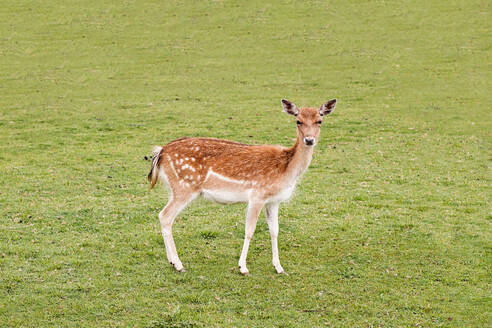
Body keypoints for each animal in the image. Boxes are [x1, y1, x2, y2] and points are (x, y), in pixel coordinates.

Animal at [148, 98, 336, 276]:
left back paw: (172, 262)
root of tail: (160, 152)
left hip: (176, 189)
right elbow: (249, 230)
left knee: (164, 216)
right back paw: (178, 264)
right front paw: (243, 267)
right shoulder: (257, 195)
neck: (287, 169)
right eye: (298, 121)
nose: (309, 140)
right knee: (165, 215)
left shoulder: (274, 201)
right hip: (184, 187)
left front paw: (279, 267)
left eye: (319, 120)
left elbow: (275, 231)